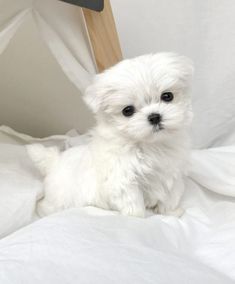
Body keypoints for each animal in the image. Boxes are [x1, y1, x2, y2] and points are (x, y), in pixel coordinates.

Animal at [27, 52, 193, 217]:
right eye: (128, 111)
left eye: (167, 96)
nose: (154, 117)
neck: (150, 145)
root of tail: (55, 161)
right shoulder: (123, 180)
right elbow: (134, 203)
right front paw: (137, 218)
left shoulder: (173, 173)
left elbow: (171, 197)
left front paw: (171, 212)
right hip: (62, 198)